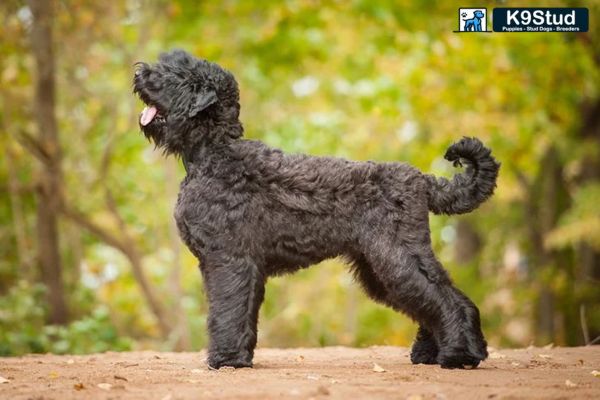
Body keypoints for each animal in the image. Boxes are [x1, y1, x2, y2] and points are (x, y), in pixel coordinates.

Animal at [134, 51, 500, 370]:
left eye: (178, 75)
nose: (140, 73)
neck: (214, 154)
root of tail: (422, 180)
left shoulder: (228, 258)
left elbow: (227, 309)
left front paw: (226, 360)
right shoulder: (242, 264)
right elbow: (243, 312)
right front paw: (240, 356)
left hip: (396, 257)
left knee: (445, 298)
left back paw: (459, 355)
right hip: (380, 266)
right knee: (435, 299)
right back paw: (433, 353)